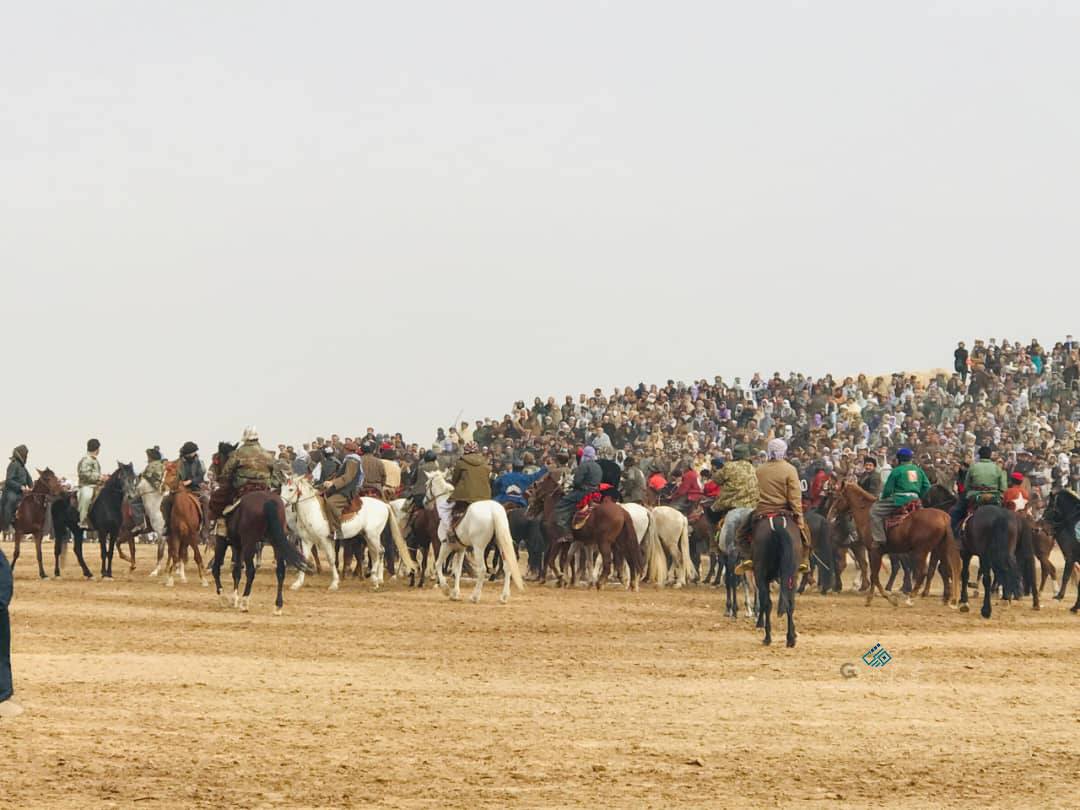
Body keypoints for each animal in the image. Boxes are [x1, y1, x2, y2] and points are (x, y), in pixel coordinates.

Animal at [278, 475, 412, 591]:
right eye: (282, 488)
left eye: (291, 489)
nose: (281, 503)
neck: (311, 510)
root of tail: (384, 505)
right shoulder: (306, 541)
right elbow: (304, 559)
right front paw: (297, 584)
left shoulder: (325, 540)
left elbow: (331, 559)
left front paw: (334, 583)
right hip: (368, 536)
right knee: (380, 552)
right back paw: (378, 579)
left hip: (373, 535)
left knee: (379, 552)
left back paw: (375, 580)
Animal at [423, 468, 524, 604]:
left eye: (426, 485)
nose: (424, 503)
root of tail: (493, 510)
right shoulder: (460, 548)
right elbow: (457, 570)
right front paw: (455, 593)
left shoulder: (446, 545)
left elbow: (438, 564)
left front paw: (446, 589)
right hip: (501, 544)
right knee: (507, 567)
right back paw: (504, 596)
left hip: (479, 548)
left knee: (482, 569)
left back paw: (475, 596)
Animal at [825, 481, 963, 609]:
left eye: (837, 496)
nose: (829, 515)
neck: (866, 514)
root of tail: (944, 517)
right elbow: (873, 574)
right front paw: (872, 598)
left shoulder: (874, 551)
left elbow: (874, 575)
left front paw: (888, 598)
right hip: (940, 549)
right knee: (944, 569)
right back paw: (946, 598)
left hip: (921, 551)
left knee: (923, 572)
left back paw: (911, 597)